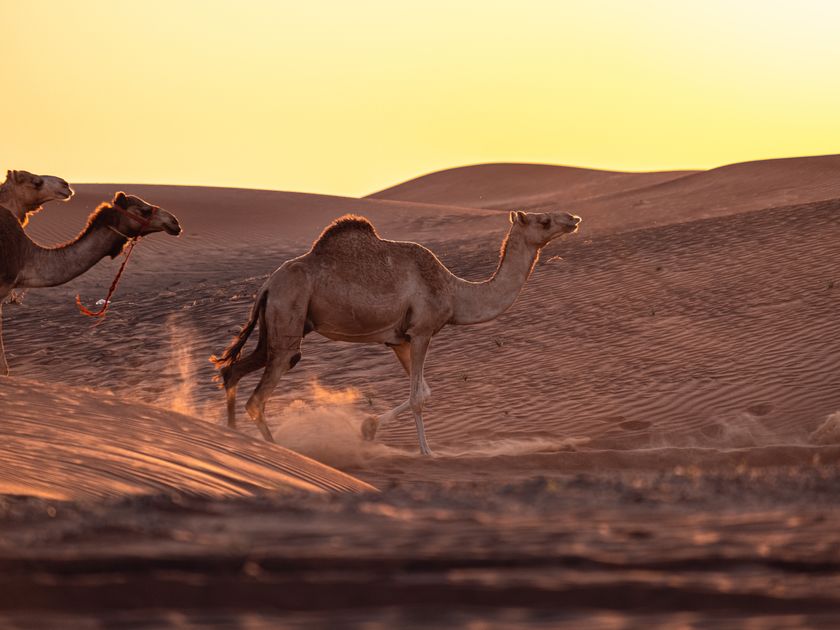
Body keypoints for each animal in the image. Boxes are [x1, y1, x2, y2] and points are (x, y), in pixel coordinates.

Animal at [213, 209, 581, 455]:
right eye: (543, 220)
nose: (573, 218)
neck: (455, 293)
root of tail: (267, 286)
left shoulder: (398, 340)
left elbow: (425, 392)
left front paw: (369, 428)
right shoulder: (422, 331)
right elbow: (418, 397)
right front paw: (425, 452)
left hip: (276, 326)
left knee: (233, 371)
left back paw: (233, 438)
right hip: (288, 317)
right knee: (258, 396)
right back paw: (279, 452)